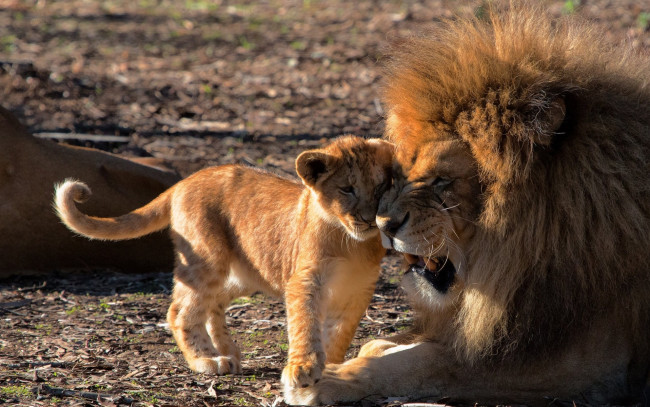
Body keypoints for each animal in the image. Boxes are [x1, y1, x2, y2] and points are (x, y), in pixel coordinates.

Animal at [286, 6, 648, 407]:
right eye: (399, 174)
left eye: (441, 180)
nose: (383, 225)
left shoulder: (586, 365)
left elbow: (428, 361)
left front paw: (327, 380)